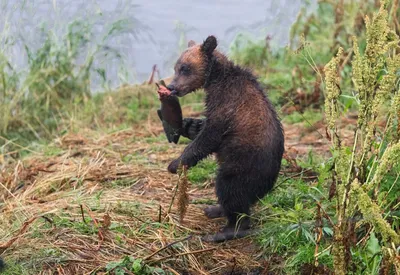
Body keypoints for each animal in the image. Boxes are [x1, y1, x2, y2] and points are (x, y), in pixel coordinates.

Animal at [166, 35, 284, 243]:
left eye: (185, 68)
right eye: (176, 67)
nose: (171, 87)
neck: (216, 79)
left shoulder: (226, 105)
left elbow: (209, 137)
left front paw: (176, 163)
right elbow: (202, 130)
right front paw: (188, 125)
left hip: (243, 166)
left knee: (229, 188)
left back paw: (226, 230)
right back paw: (215, 209)